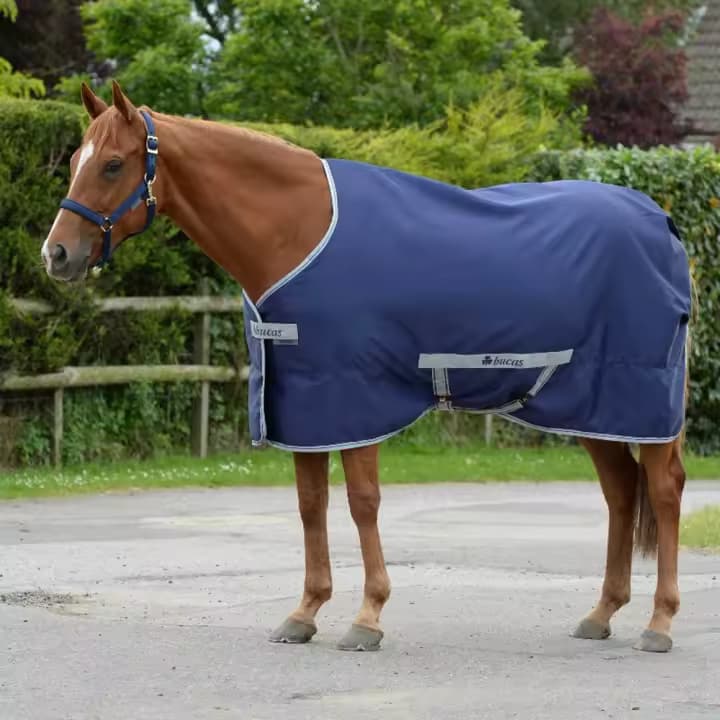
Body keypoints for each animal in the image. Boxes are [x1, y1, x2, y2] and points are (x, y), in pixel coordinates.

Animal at [42, 81, 692, 654]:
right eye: (75, 159)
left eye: (113, 165)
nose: (56, 254)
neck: (296, 233)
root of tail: (661, 221)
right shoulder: (304, 405)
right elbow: (311, 505)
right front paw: (304, 612)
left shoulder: (356, 397)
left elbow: (362, 502)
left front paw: (368, 617)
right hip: (595, 408)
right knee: (620, 492)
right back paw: (601, 613)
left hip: (642, 399)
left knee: (662, 490)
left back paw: (660, 623)